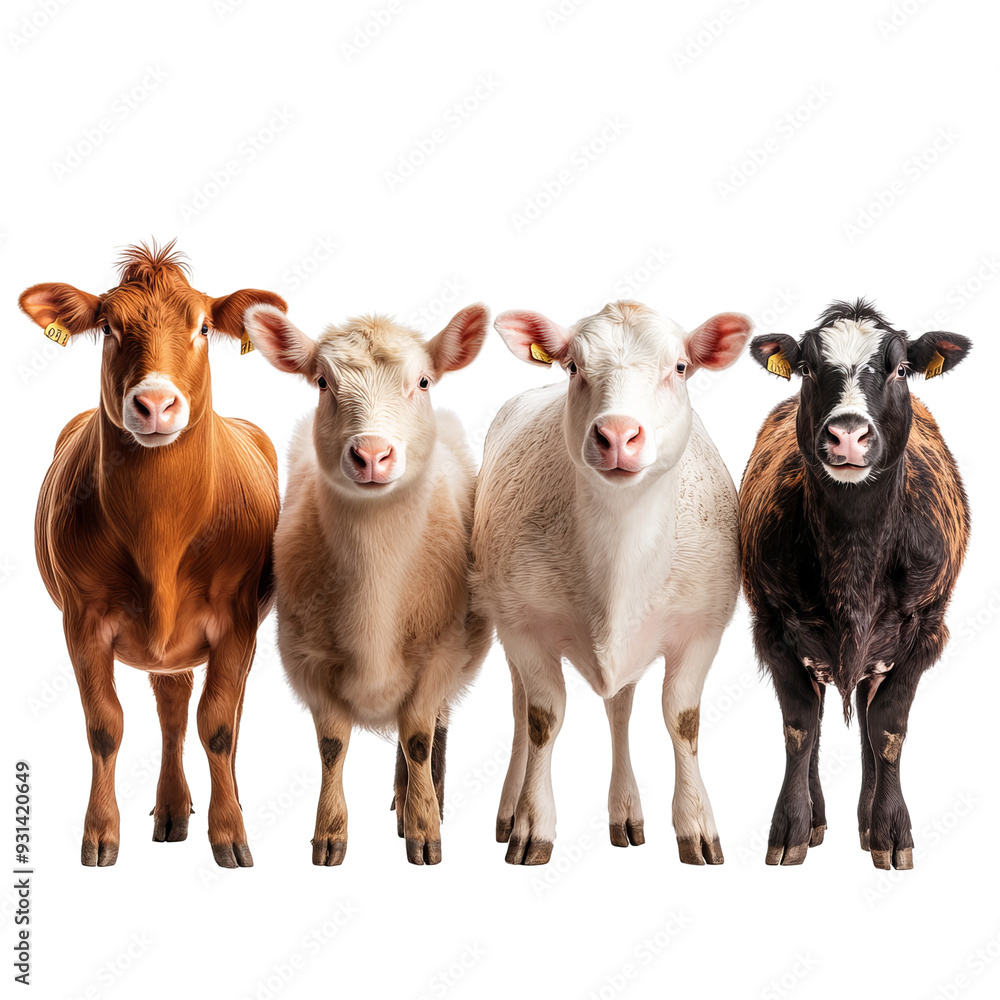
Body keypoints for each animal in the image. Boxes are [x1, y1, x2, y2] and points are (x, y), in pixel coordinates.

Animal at [20, 241, 286, 867]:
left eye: (204, 326)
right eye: (109, 327)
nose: (157, 403)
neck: (159, 533)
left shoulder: (237, 620)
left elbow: (218, 726)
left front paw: (230, 833)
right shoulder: (82, 619)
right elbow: (104, 726)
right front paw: (100, 833)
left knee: (212, 713)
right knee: (171, 703)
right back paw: (170, 811)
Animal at [242, 302, 492, 865]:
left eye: (422, 381)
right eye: (322, 382)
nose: (373, 454)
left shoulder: (440, 653)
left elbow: (419, 737)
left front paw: (425, 830)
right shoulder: (307, 659)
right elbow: (332, 748)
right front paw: (329, 835)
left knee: (433, 728)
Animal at [472, 300, 754, 865]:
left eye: (680, 367)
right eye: (573, 367)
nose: (619, 434)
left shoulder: (703, 626)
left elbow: (682, 719)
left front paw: (696, 826)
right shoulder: (523, 625)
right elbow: (542, 719)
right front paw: (532, 826)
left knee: (619, 707)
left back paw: (625, 811)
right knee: (518, 709)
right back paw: (510, 809)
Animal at [739, 298, 971, 869]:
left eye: (901, 368)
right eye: (805, 368)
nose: (847, 432)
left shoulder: (926, 628)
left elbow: (887, 728)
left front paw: (890, 831)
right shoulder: (772, 626)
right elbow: (800, 726)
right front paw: (792, 828)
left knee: (868, 718)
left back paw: (868, 822)